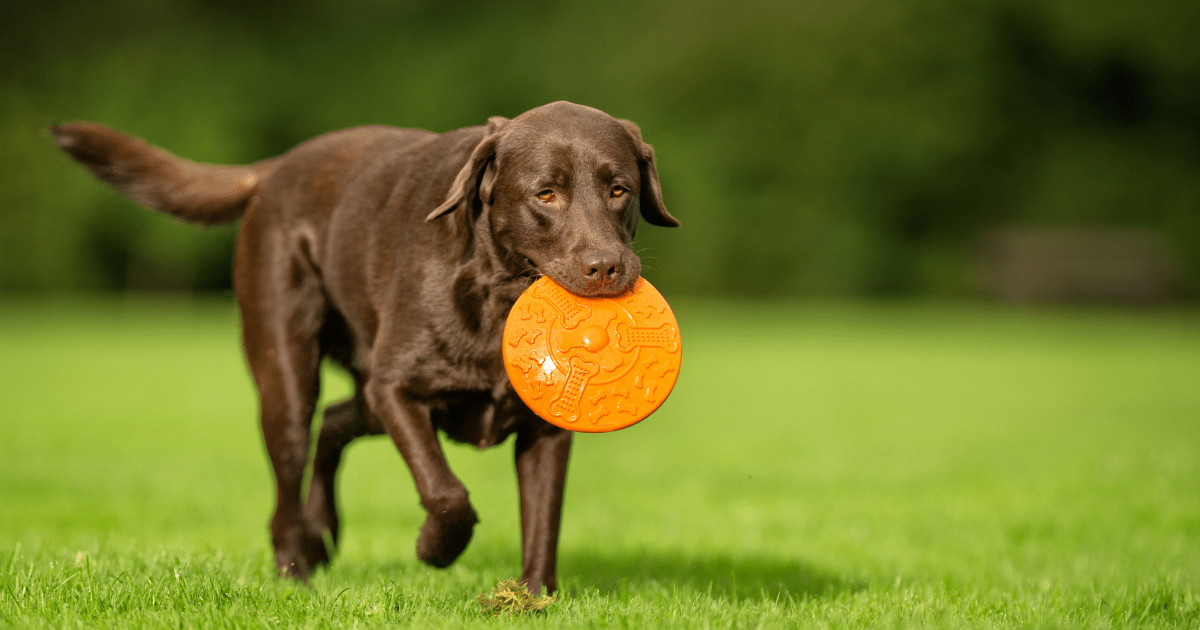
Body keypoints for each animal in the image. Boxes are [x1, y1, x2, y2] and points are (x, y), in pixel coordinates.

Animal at [58, 100, 676, 592]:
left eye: (618, 189)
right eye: (546, 193)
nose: (606, 267)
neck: (498, 294)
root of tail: (277, 168)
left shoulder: (545, 430)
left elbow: (543, 520)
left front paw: (532, 599)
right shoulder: (397, 388)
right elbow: (445, 491)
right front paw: (434, 548)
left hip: (362, 394)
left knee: (334, 423)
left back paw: (323, 532)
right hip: (289, 375)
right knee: (291, 471)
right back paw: (296, 566)